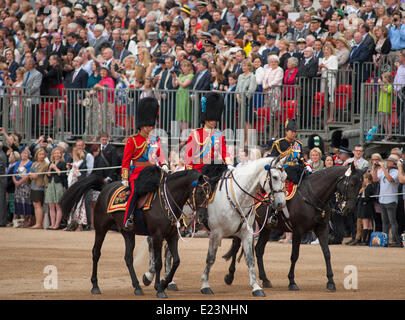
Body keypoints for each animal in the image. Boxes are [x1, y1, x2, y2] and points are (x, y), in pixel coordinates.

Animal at [61, 169, 210, 298]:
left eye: (209, 194)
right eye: (201, 192)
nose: (203, 217)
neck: (166, 201)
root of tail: (105, 188)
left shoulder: (172, 237)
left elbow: (177, 261)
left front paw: (163, 284)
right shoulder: (157, 236)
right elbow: (158, 263)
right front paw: (160, 289)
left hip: (128, 233)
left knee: (128, 258)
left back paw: (137, 286)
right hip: (101, 228)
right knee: (96, 253)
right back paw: (95, 286)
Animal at [200, 156, 286, 296]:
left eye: (285, 177)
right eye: (274, 177)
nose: (281, 203)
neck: (239, 196)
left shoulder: (246, 233)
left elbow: (250, 259)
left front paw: (256, 287)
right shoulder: (215, 233)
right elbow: (210, 258)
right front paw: (205, 285)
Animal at [223, 164, 364, 292]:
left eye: (360, 186)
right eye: (352, 184)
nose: (349, 209)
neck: (312, 196)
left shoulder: (322, 229)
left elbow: (327, 253)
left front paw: (330, 282)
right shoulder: (297, 231)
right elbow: (294, 255)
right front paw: (292, 282)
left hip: (266, 228)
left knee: (258, 249)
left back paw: (265, 279)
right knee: (236, 246)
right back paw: (230, 276)